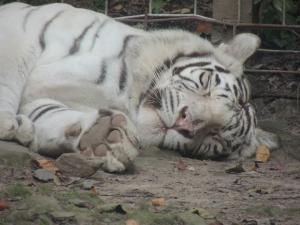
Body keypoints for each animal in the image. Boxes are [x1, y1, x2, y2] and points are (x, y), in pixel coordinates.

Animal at [0, 2, 278, 171]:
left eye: (215, 136)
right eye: (206, 85)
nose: (186, 122)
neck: (125, 94)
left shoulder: (43, 99)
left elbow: (52, 115)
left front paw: (103, 137)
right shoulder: (24, 30)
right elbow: (8, 73)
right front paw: (7, 122)